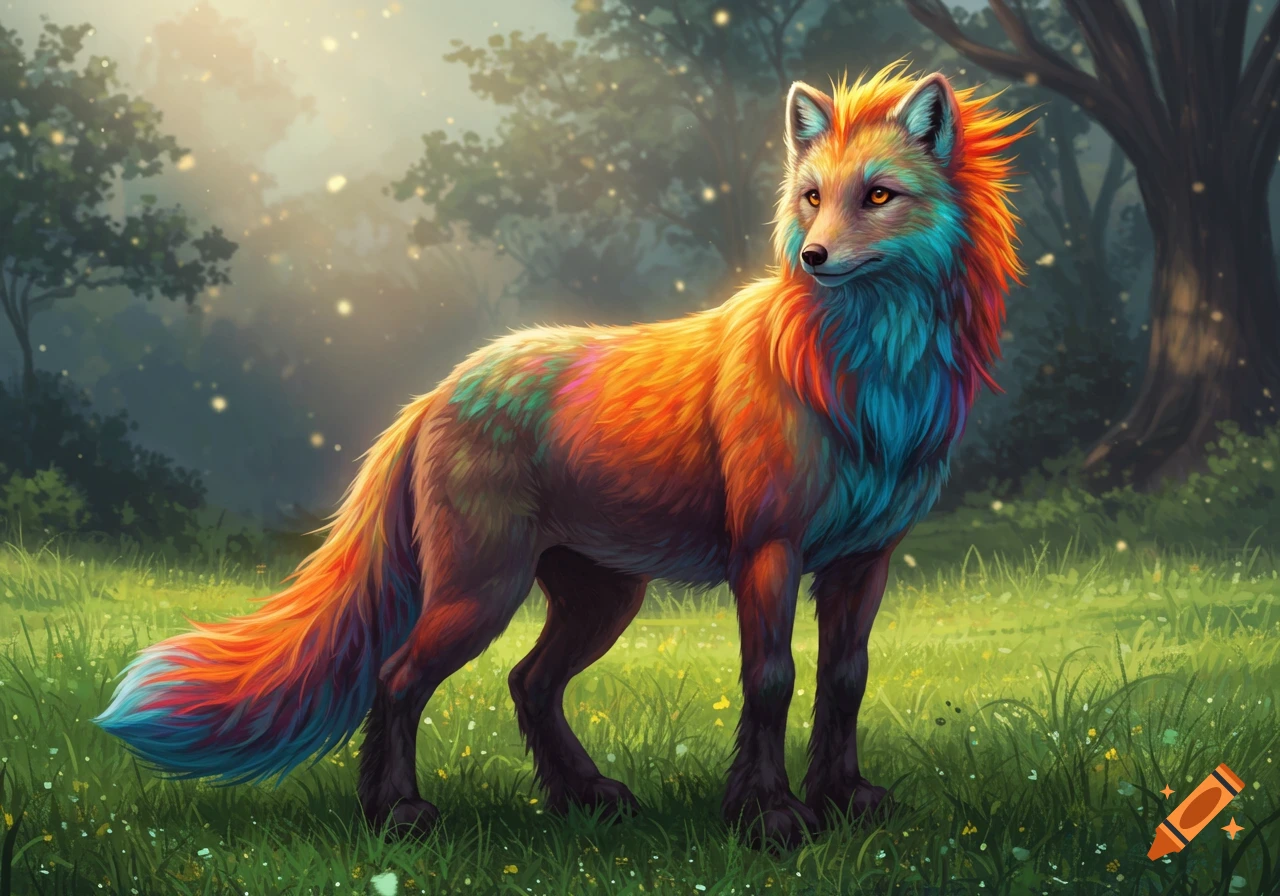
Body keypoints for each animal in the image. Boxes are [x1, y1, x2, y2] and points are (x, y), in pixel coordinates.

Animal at [95, 63, 1030, 849]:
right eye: (811, 197)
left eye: (877, 195)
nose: (813, 257)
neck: (865, 385)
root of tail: (433, 394)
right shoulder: (768, 552)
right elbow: (770, 680)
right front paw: (769, 817)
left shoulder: (865, 559)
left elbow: (844, 680)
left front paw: (845, 800)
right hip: (483, 590)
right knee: (399, 677)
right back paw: (396, 814)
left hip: (601, 597)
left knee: (528, 683)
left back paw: (583, 797)